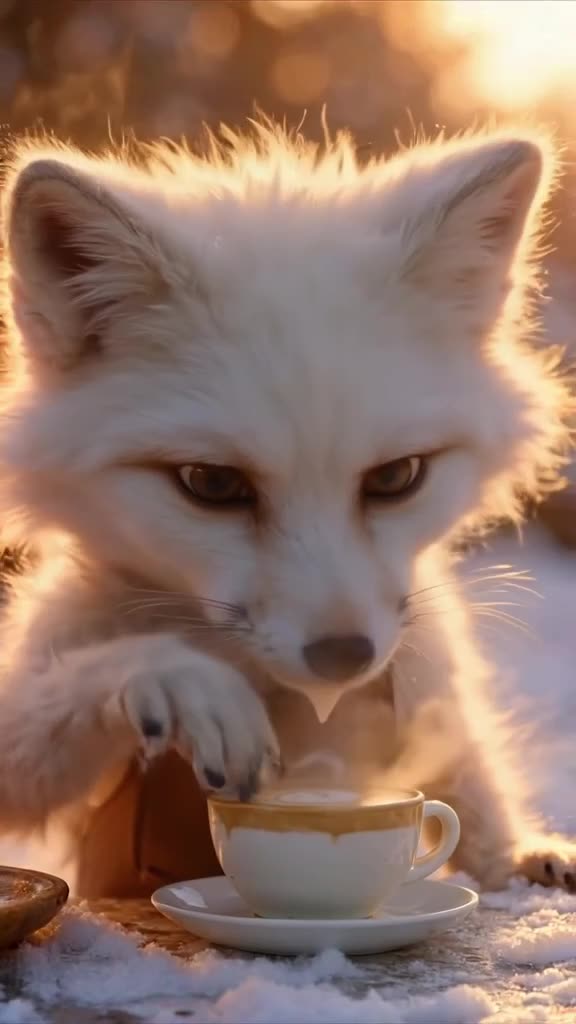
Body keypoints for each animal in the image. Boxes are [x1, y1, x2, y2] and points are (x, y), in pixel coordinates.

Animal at [0, 123, 574, 897]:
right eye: (211, 485)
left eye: (397, 477)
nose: (345, 658)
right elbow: (101, 676)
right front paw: (184, 682)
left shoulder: (429, 676)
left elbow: (472, 776)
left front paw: (517, 856)